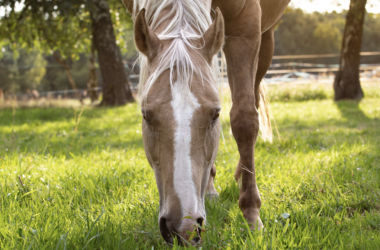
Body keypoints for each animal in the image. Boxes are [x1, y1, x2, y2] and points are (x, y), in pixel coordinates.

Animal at [123, 0, 290, 245]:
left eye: (215, 115)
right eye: (146, 116)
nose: (183, 227)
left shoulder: (246, 25)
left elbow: (245, 119)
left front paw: (252, 218)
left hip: (265, 37)